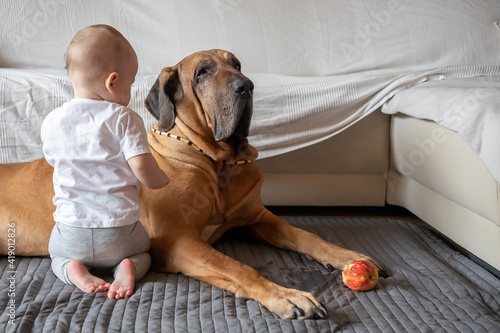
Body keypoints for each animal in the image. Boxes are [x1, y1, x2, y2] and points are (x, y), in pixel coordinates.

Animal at [0, 49, 382, 320]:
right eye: (202, 72)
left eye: (237, 63)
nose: (247, 86)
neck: (216, 162)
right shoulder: (179, 241)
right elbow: (237, 266)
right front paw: (285, 295)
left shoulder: (257, 218)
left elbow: (306, 235)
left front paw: (346, 256)